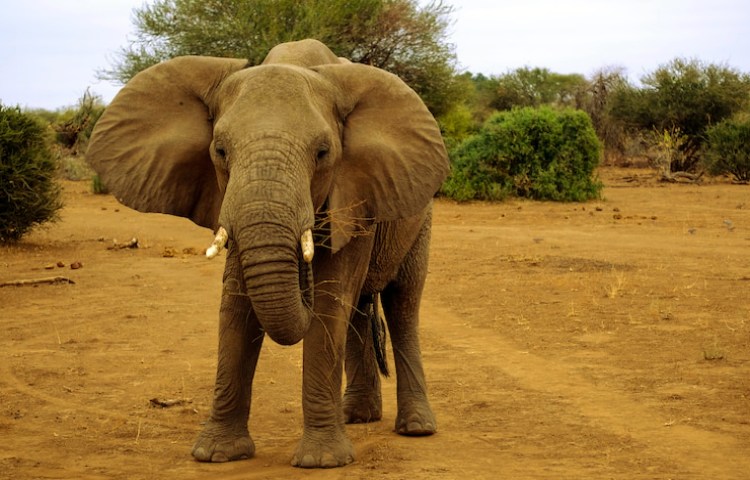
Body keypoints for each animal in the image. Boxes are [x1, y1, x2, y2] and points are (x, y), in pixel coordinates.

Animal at [88, 38, 452, 468]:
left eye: (323, 153)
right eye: (220, 150)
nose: (302, 271)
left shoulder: (355, 192)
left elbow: (331, 299)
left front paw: (322, 461)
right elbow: (237, 303)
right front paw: (216, 454)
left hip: (420, 214)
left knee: (402, 302)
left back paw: (416, 427)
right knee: (359, 311)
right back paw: (356, 416)